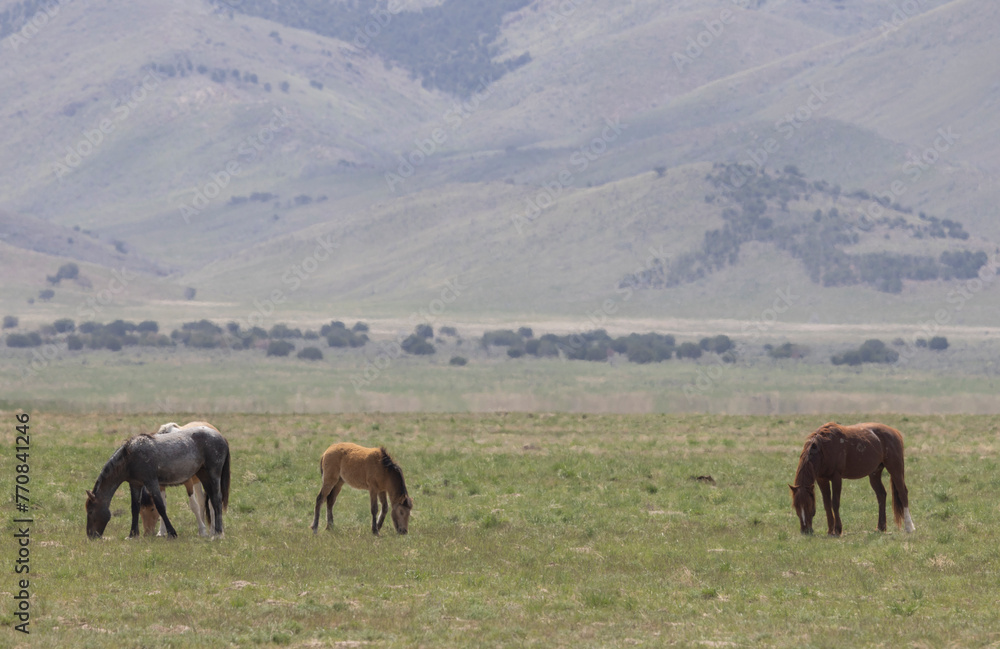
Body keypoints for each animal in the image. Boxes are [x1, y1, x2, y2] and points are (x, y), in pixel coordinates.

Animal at [85, 420, 230, 536]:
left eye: (91, 511)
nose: (91, 535)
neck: (130, 457)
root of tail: (221, 437)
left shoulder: (152, 482)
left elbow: (160, 506)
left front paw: (172, 533)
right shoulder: (135, 484)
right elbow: (134, 508)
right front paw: (133, 535)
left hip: (213, 475)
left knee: (216, 500)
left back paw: (217, 533)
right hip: (203, 476)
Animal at [788, 420, 916, 536]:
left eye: (808, 505)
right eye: (796, 506)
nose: (805, 531)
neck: (823, 449)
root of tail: (895, 432)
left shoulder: (836, 477)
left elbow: (835, 503)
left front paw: (838, 529)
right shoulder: (821, 479)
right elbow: (827, 504)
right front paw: (830, 530)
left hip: (895, 469)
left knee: (903, 493)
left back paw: (909, 526)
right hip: (875, 473)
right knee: (881, 495)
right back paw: (881, 527)